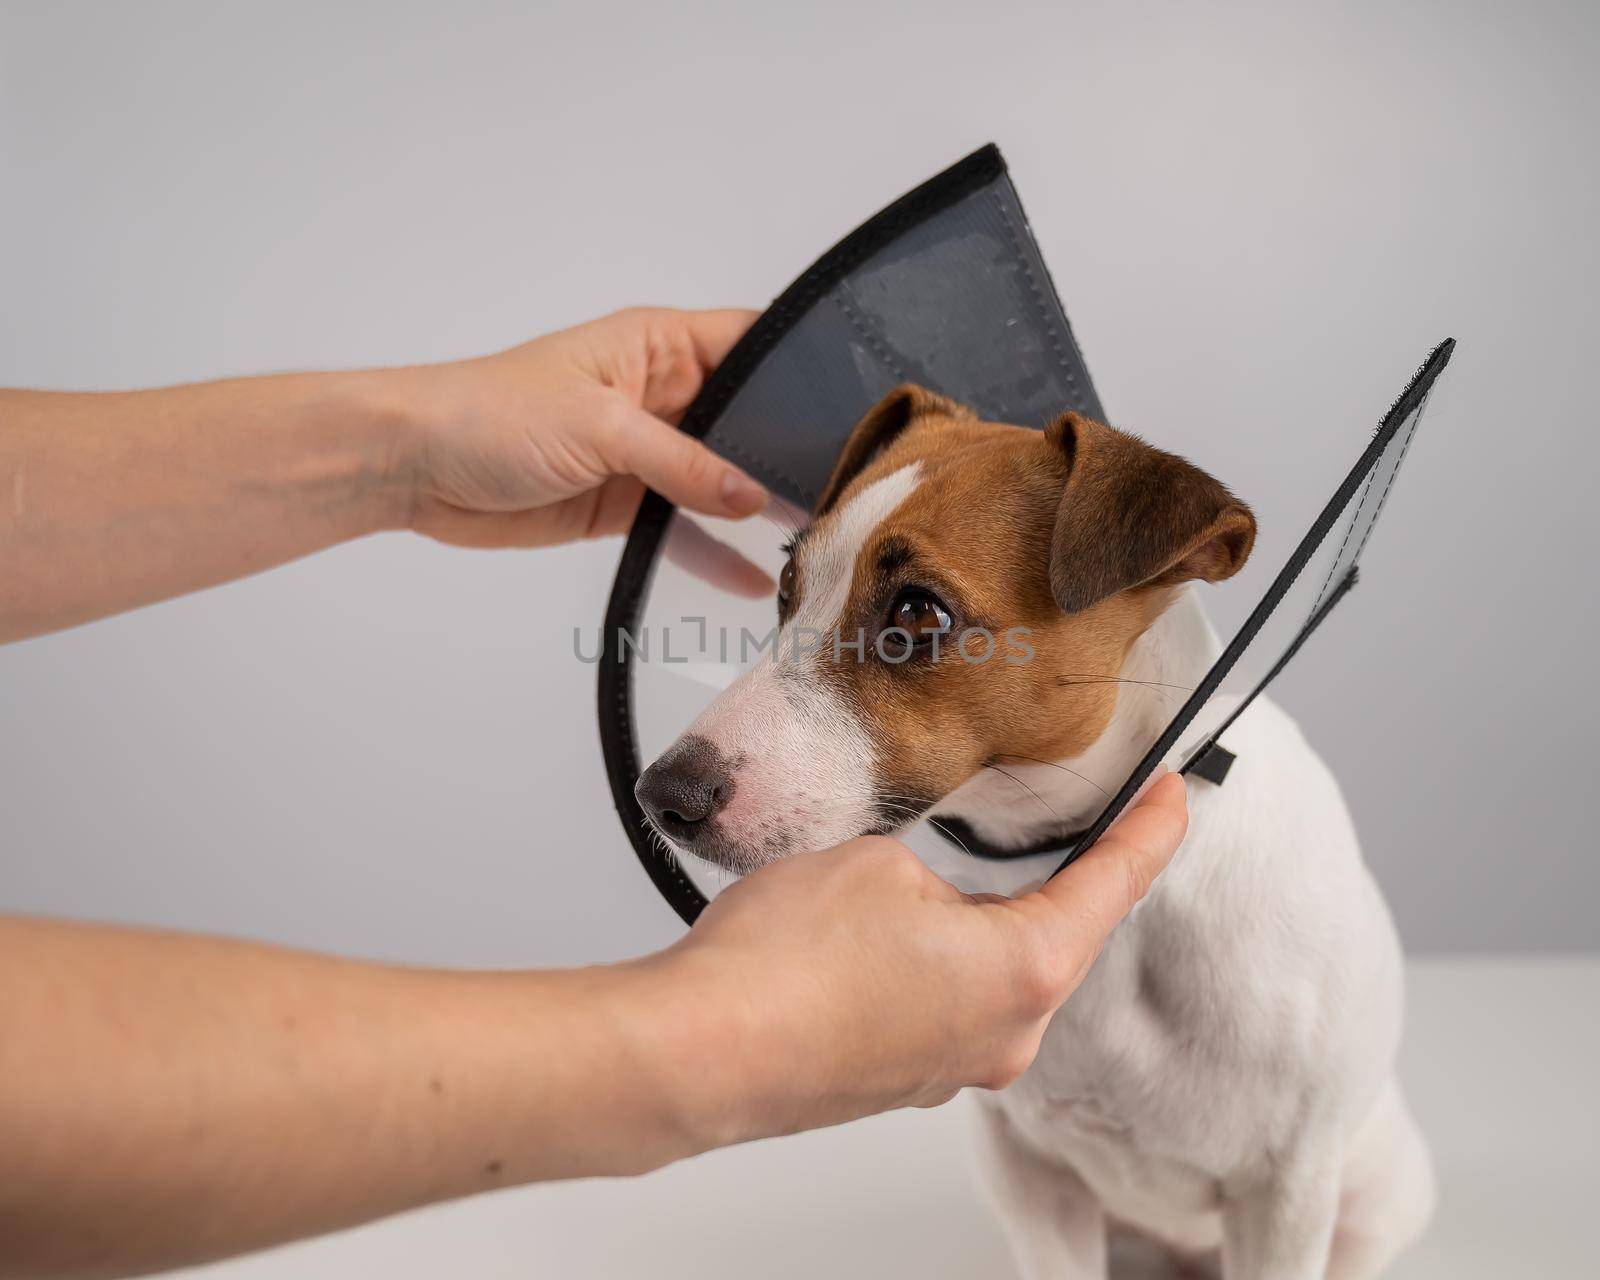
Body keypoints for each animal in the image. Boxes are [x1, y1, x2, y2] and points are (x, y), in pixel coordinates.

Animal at [630, 385, 1433, 1273]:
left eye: (917, 611)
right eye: (786, 583)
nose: (661, 794)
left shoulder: (1285, 1193)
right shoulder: (1030, 1174)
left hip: (1378, 1198)